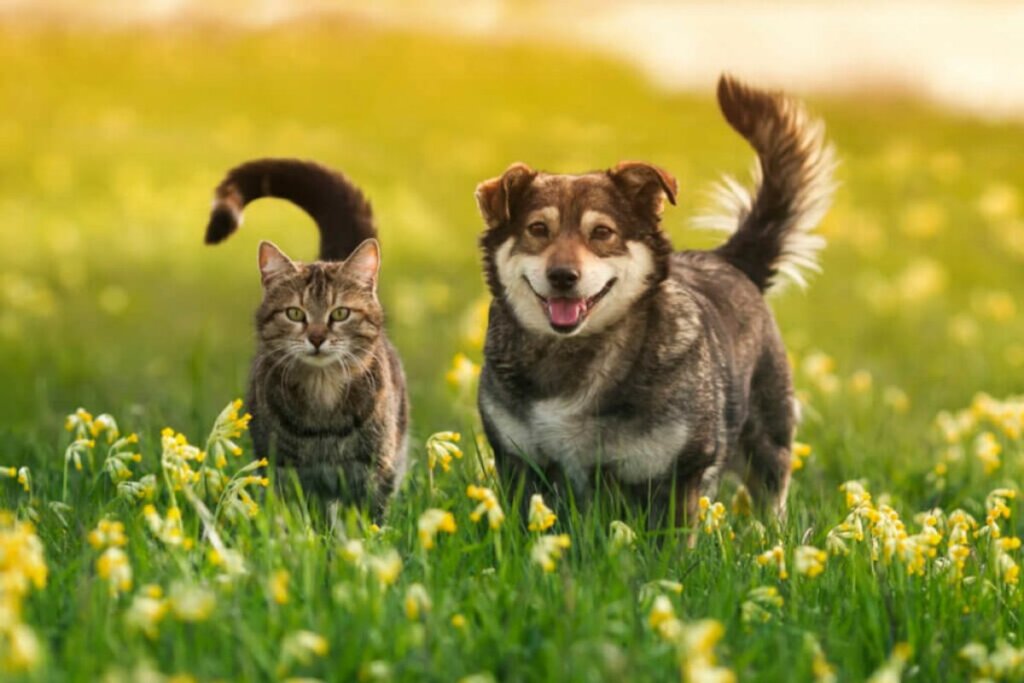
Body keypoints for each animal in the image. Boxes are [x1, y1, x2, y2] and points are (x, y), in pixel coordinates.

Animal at [203, 156, 407, 518]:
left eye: (340, 313)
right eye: (295, 314)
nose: (316, 337)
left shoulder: (374, 470)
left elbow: (368, 521)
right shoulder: (284, 470)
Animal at [475, 74, 835, 528]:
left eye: (602, 232)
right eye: (538, 229)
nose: (562, 277)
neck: (573, 354)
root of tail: (729, 259)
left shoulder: (677, 474)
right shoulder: (519, 463)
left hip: (768, 443)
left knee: (772, 498)